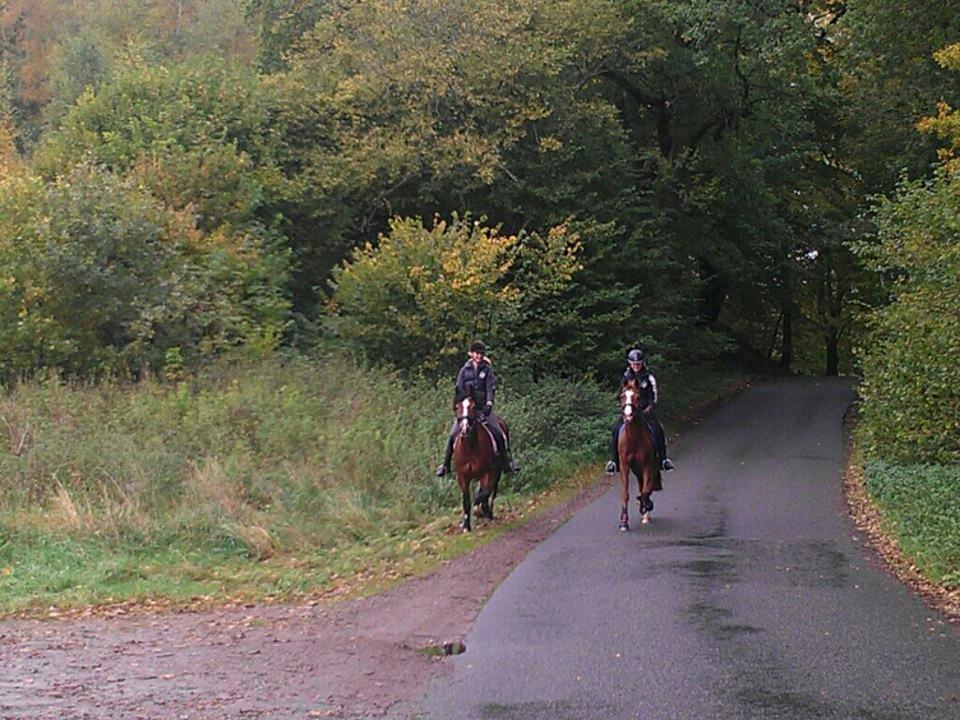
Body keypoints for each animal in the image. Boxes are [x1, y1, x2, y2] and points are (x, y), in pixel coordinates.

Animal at [454, 390, 506, 532]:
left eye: (473, 407)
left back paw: (489, 513)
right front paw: (466, 526)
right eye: (457, 407)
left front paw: (480, 511)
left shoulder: (487, 473)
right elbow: (466, 500)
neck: (470, 448)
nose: (464, 429)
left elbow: (484, 494)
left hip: (497, 472)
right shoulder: (462, 477)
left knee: (492, 491)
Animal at [620, 376, 664, 528]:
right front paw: (624, 522)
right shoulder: (625, 466)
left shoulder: (648, 466)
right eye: (622, 396)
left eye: (637, 396)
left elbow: (646, 491)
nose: (628, 415)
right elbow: (625, 493)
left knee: (646, 488)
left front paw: (646, 506)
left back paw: (646, 513)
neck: (634, 438)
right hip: (637, 470)